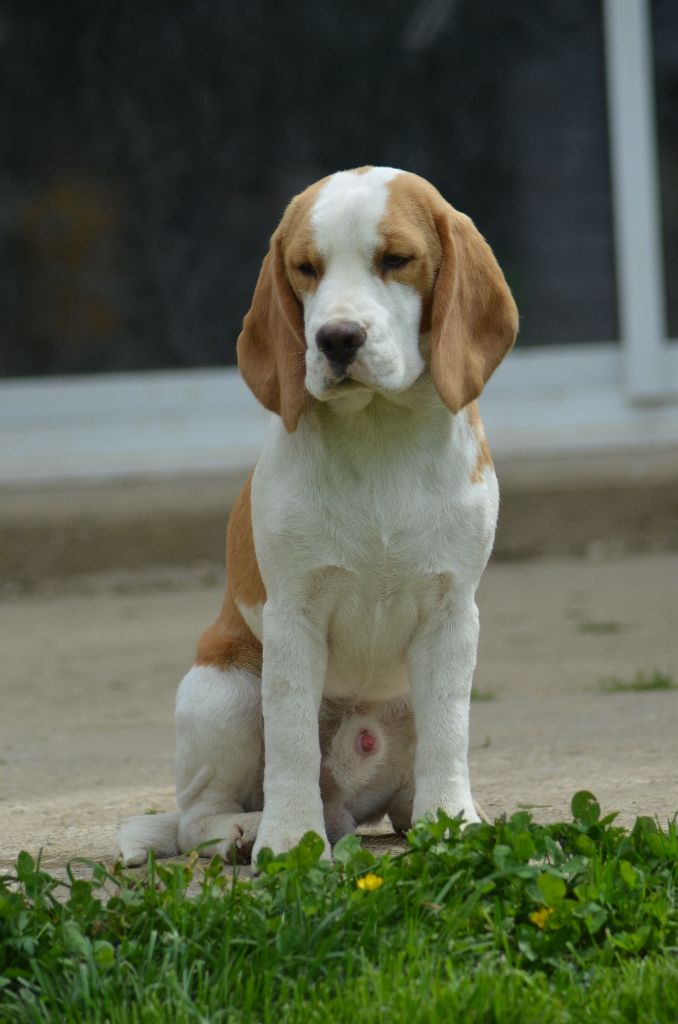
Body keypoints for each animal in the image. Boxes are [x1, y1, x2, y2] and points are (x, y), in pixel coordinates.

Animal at [118, 165, 520, 864]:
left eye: (396, 259)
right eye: (306, 268)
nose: (336, 338)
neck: (379, 435)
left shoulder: (452, 614)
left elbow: (449, 732)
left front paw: (453, 825)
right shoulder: (293, 617)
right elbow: (292, 742)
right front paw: (287, 842)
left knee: (406, 790)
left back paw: (421, 814)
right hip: (222, 690)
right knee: (197, 818)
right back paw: (243, 830)